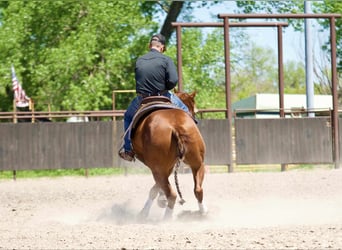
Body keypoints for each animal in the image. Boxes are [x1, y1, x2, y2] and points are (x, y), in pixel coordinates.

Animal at [130, 91, 206, 220]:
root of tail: (175, 126)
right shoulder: (169, 167)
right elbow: (156, 188)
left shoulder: (163, 168)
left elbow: (154, 189)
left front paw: (147, 211)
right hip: (197, 164)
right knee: (198, 189)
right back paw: (203, 213)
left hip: (158, 169)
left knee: (172, 194)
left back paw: (166, 218)